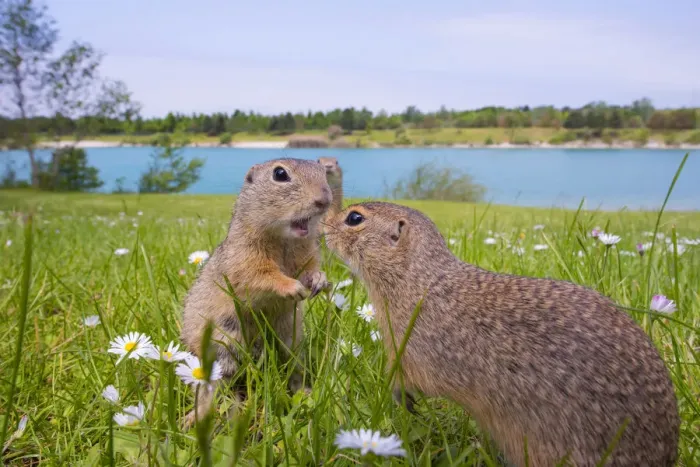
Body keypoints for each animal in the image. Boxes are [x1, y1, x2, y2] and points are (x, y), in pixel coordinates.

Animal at [180, 158, 333, 428]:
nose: (324, 200)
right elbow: (261, 277)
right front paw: (292, 287)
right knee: (211, 388)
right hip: (222, 344)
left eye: (323, 172)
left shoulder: (307, 254)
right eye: (280, 174)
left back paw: (303, 392)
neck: (284, 239)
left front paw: (319, 280)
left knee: (293, 370)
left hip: (291, 341)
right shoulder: (246, 257)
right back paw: (196, 417)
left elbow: (311, 268)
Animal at [323, 201, 680, 467]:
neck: (420, 282)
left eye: (355, 218)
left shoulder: (416, 350)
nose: (323, 224)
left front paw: (400, 399)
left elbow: (408, 378)